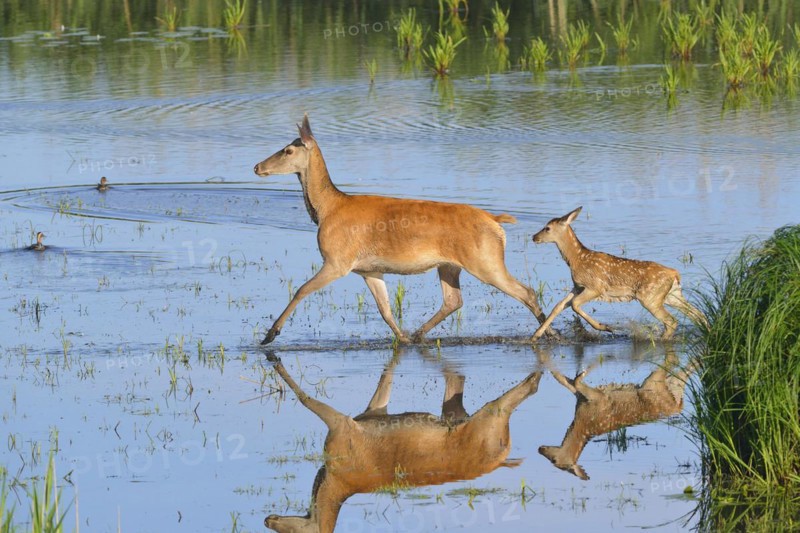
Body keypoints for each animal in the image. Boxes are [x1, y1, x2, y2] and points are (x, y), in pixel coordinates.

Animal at [253, 115, 552, 345]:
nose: (257, 166)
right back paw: (418, 335)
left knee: (525, 291)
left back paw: (546, 334)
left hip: (485, 259)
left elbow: (301, 290)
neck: (326, 209)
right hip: (449, 264)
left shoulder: (338, 260)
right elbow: (385, 310)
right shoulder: (369, 269)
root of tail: (495, 221)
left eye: (288, 150)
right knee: (453, 300)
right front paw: (402, 338)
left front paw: (270, 334)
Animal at [264, 352, 542, 533]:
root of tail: (502, 459)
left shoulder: (341, 425)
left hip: (491, 415)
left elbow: (304, 398)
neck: (336, 484)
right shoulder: (372, 411)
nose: (268, 520)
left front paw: (274, 358)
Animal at [530, 206, 707, 341]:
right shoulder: (578, 286)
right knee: (697, 313)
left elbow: (574, 304)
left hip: (650, 297)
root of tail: (674, 273)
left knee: (672, 320)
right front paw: (535, 336)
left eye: (547, 228)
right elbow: (558, 306)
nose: (533, 237)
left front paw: (605, 327)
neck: (577, 260)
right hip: (671, 294)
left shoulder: (596, 286)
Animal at [537, 349, 694, 480]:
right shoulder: (580, 397)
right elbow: (562, 380)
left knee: (673, 359)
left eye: (554, 460)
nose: (540, 449)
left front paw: (587, 368)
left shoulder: (598, 398)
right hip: (668, 385)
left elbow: (575, 381)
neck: (581, 422)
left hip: (651, 386)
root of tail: (677, 407)